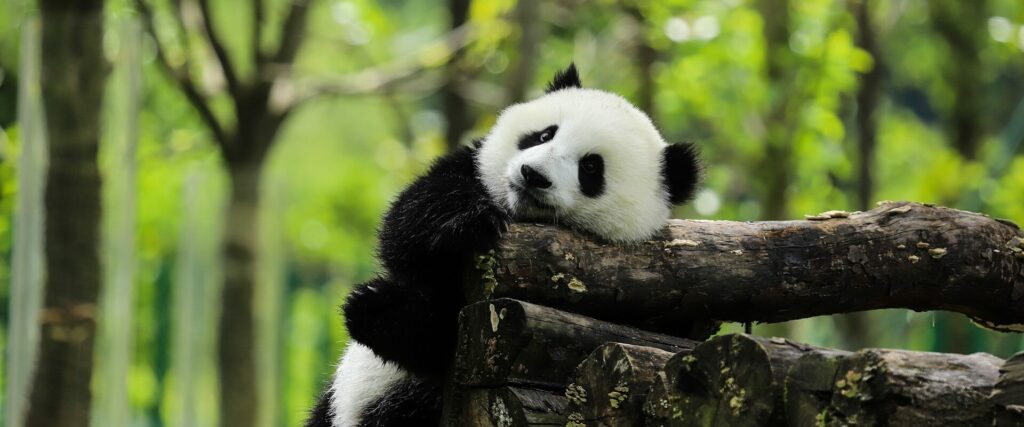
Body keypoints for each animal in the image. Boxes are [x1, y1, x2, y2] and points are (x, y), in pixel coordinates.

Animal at [305, 64, 702, 427]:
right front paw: (467, 221)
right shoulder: (472, 169)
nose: (533, 175)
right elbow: (407, 226)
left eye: (591, 167)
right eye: (544, 134)